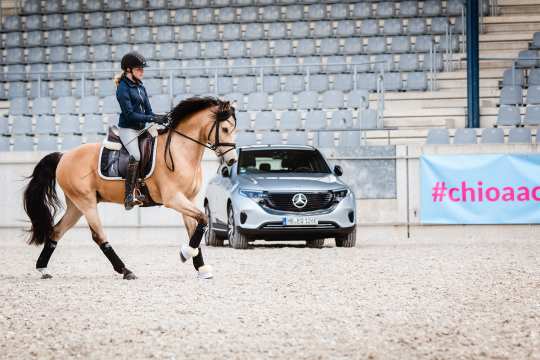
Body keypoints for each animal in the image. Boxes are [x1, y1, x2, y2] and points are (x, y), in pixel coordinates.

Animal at [21, 97, 236, 280]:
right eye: (225, 129)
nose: (233, 160)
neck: (180, 150)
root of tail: (64, 156)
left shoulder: (187, 199)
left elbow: (196, 228)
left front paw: (201, 268)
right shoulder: (173, 198)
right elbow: (203, 219)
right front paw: (185, 253)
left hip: (76, 206)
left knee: (57, 231)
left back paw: (43, 268)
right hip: (86, 202)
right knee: (98, 236)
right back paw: (125, 270)